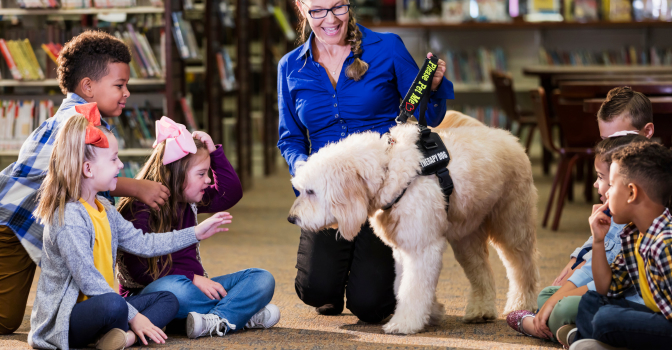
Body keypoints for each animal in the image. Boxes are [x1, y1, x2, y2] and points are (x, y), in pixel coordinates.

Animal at [286, 111, 540, 334]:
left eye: (311, 191)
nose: (292, 218)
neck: (389, 171)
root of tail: (509, 138)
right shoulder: (403, 248)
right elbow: (403, 286)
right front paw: (432, 311)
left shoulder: (421, 248)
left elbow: (413, 288)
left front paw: (404, 323)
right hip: (466, 236)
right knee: (482, 270)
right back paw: (481, 311)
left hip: (513, 225)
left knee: (522, 267)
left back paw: (520, 305)